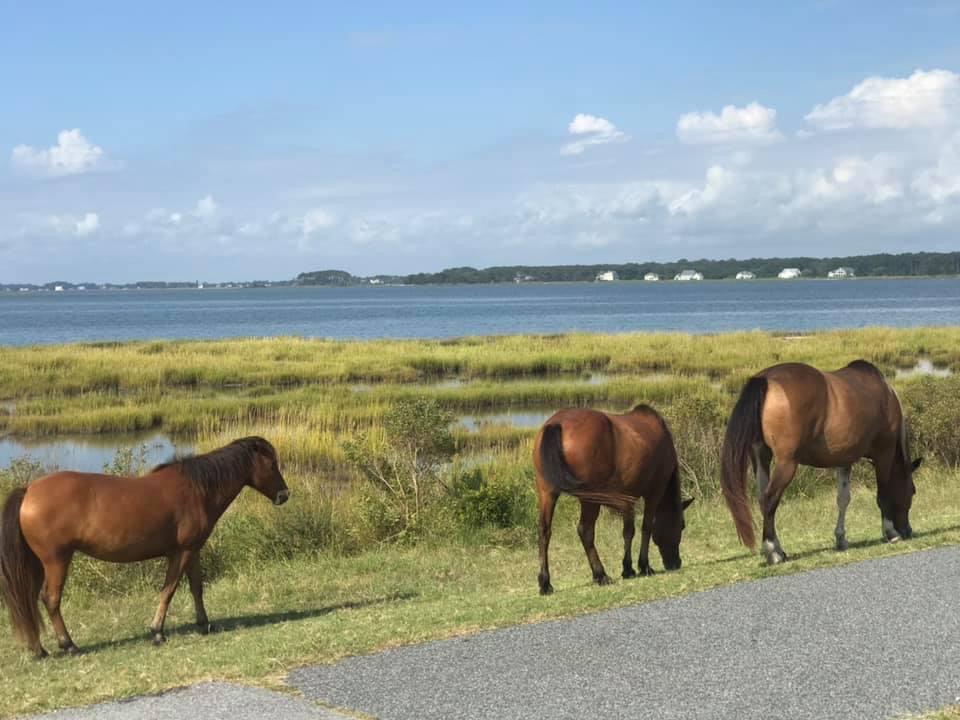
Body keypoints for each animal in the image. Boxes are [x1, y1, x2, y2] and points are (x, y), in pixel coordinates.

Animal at [0, 434, 288, 660]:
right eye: (271, 464)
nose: (284, 495)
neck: (196, 488)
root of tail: (29, 490)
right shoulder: (181, 552)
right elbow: (169, 590)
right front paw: (157, 632)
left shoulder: (192, 550)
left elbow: (196, 587)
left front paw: (204, 624)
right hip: (56, 560)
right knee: (50, 599)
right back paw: (69, 645)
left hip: (37, 564)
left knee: (28, 600)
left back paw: (39, 649)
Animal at [532, 404, 688, 596]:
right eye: (681, 525)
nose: (676, 563)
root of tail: (556, 424)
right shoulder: (654, 493)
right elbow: (644, 528)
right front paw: (641, 567)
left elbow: (628, 530)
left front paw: (629, 568)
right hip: (590, 499)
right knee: (585, 530)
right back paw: (601, 575)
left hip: (547, 492)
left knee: (544, 531)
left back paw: (545, 583)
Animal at [720, 362, 924, 564]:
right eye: (912, 491)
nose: (908, 530)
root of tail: (765, 380)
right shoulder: (884, 453)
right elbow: (883, 494)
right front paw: (890, 532)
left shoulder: (844, 459)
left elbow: (843, 498)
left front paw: (841, 539)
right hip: (786, 464)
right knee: (770, 499)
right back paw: (773, 552)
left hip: (760, 456)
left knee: (763, 499)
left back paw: (778, 549)